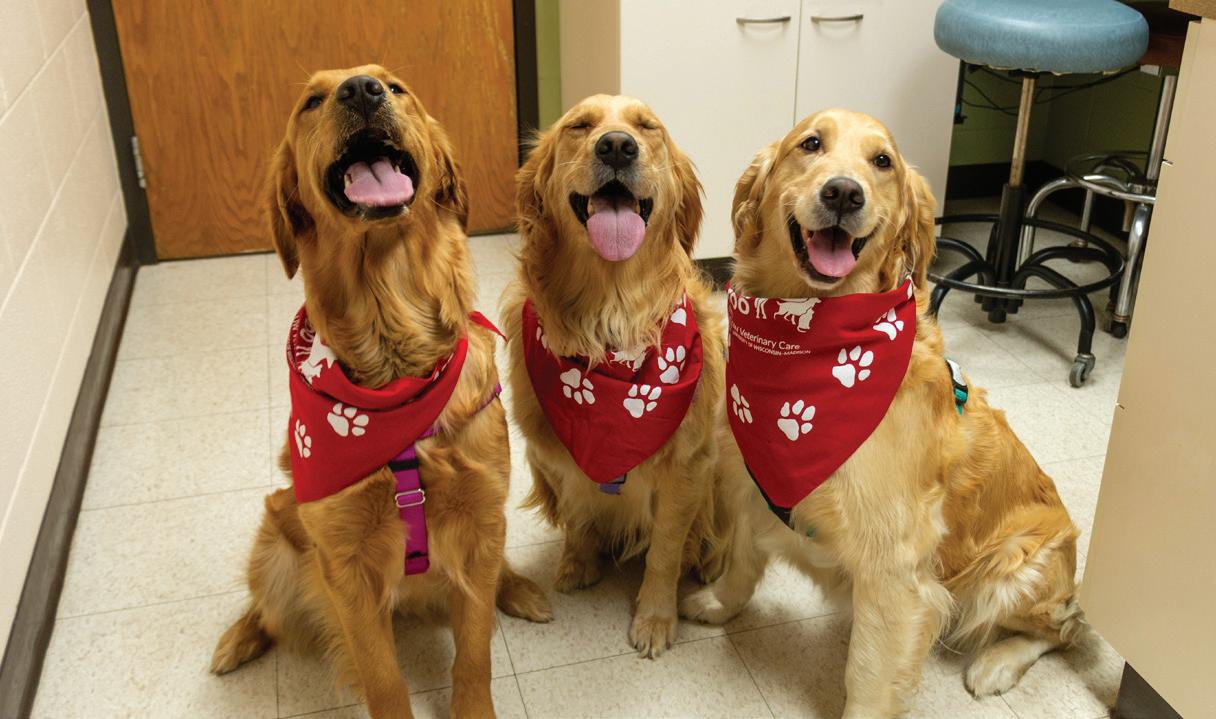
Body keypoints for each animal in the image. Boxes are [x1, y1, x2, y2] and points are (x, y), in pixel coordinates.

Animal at [209, 66, 551, 718]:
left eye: (396, 88)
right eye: (312, 100)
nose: (361, 90)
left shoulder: (478, 524)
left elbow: (475, 653)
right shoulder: (345, 566)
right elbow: (382, 677)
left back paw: (522, 589)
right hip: (279, 536)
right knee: (266, 607)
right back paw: (237, 640)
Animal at [501, 95, 733, 657]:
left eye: (647, 128)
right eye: (579, 126)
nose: (616, 146)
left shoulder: (687, 463)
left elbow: (666, 550)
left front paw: (654, 618)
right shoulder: (553, 451)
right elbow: (579, 513)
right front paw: (579, 561)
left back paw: (712, 565)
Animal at [683, 109, 1085, 717]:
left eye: (882, 162)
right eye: (811, 144)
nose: (844, 193)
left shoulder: (894, 567)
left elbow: (869, 677)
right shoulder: (752, 478)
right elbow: (742, 562)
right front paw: (716, 602)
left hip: (1014, 566)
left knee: (1061, 630)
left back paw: (995, 664)